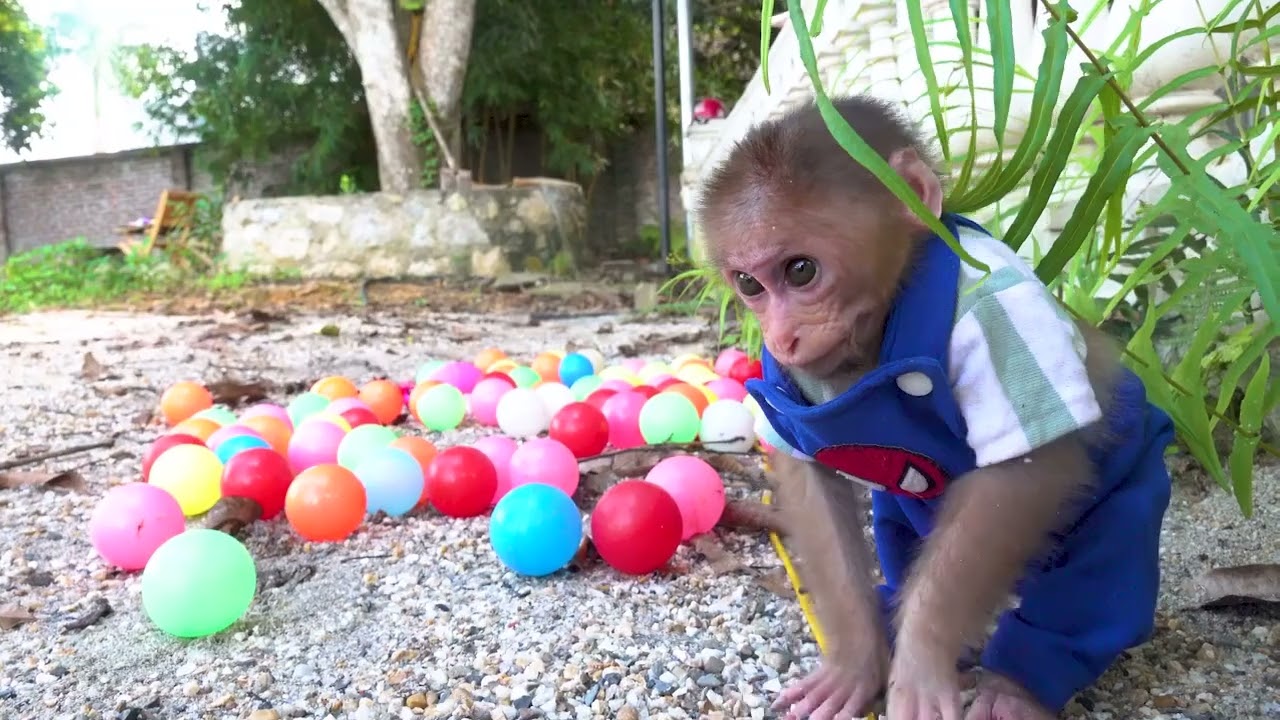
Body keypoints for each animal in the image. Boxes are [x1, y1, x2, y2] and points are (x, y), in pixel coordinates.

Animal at [696, 95, 1176, 720]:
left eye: (800, 271)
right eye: (749, 284)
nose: (781, 336)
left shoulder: (1000, 314)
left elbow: (1020, 477)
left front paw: (920, 664)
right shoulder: (785, 377)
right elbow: (810, 476)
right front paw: (857, 660)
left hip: (1130, 473)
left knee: (1102, 566)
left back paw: (1016, 687)